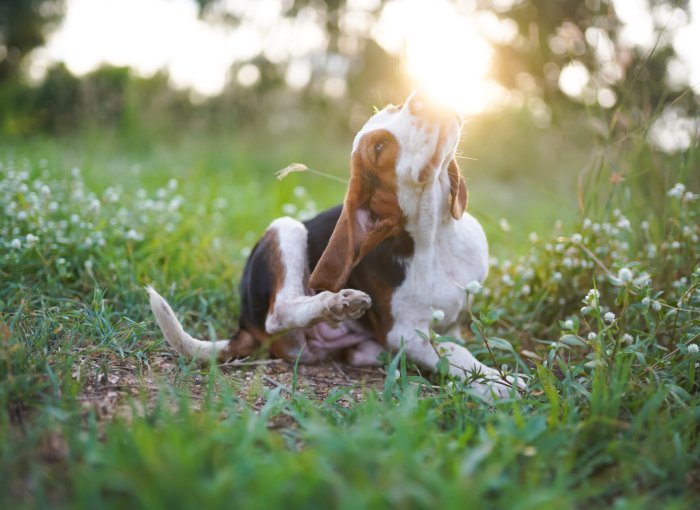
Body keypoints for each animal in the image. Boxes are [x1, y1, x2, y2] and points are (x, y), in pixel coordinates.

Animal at [150, 92, 528, 402]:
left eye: (395, 107)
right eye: (378, 149)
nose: (422, 96)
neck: (435, 238)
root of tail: (245, 323)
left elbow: (455, 338)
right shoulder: (403, 332)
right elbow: (450, 350)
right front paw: (494, 382)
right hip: (286, 228)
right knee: (279, 313)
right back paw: (336, 303)